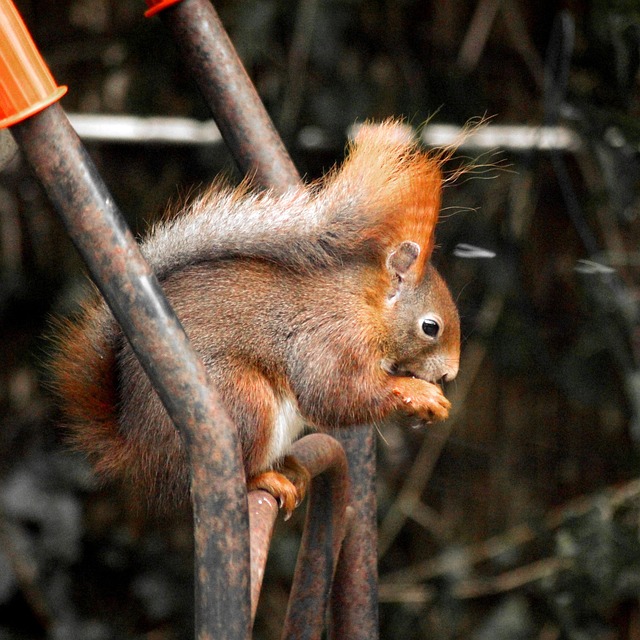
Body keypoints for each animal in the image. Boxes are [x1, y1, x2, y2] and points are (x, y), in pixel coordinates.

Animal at [49, 120, 461, 515]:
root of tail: (136, 447)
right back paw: (264, 478)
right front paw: (421, 394)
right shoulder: (330, 338)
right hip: (242, 399)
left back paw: (291, 466)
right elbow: (334, 394)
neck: (367, 307)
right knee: (243, 469)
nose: (449, 374)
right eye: (430, 327)